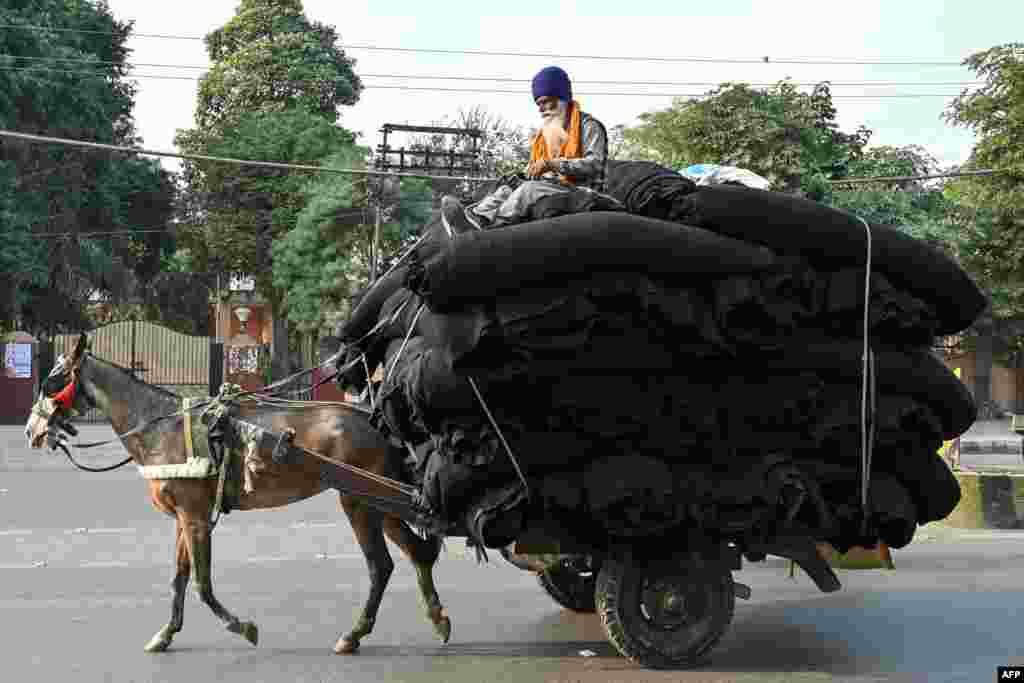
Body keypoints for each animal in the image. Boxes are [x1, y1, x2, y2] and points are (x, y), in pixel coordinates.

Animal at [22, 333, 448, 655]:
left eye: (51, 381)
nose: (31, 431)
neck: (161, 427)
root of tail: (371, 417)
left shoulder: (195, 518)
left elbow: (201, 583)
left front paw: (241, 626)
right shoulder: (184, 517)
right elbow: (179, 577)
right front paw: (166, 633)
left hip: (357, 500)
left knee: (380, 565)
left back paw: (355, 633)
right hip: (379, 499)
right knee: (416, 552)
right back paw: (437, 618)